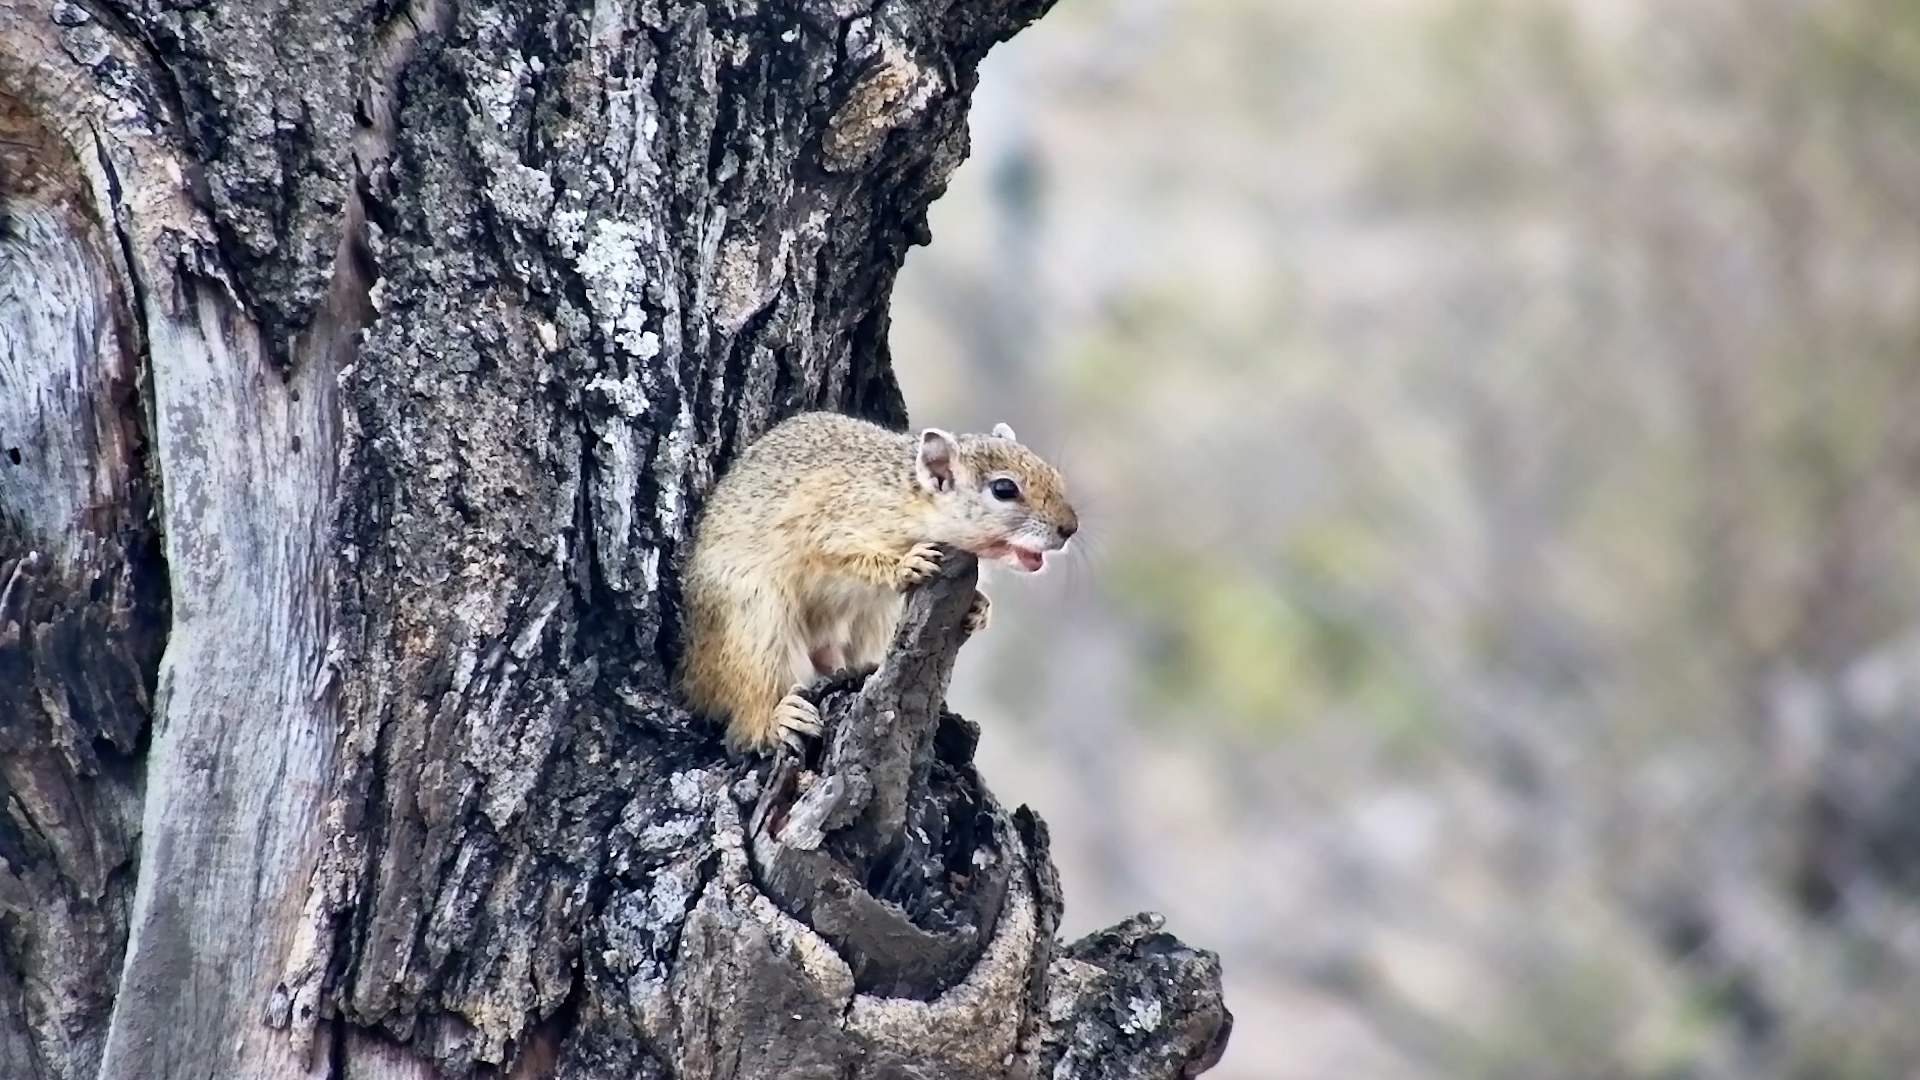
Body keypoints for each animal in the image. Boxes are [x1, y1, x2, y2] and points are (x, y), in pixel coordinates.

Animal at [675, 411, 1079, 753]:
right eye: (1004, 489)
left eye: (1054, 475)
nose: (1070, 528)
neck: (910, 500)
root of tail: (693, 676)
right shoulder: (828, 522)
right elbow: (843, 553)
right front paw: (905, 565)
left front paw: (980, 607)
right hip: (754, 618)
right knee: (746, 709)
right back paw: (776, 720)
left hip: (874, 622)